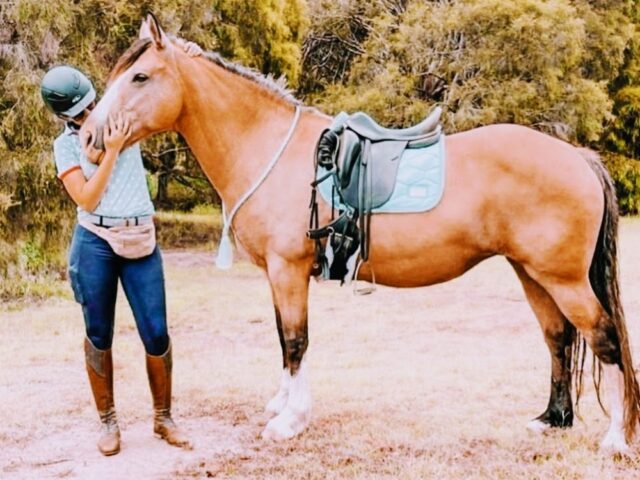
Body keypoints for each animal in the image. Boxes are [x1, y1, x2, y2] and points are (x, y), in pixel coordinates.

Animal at [79, 14, 640, 453]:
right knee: (559, 338)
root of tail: (578, 157)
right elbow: (282, 340)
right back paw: (552, 420)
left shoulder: (288, 270)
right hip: (532, 274)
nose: (87, 136)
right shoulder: (278, 276)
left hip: (564, 279)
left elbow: (296, 341)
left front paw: (290, 422)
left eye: (140, 76)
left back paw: (615, 437)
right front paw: (281, 406)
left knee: (605, 338)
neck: (269, 148)